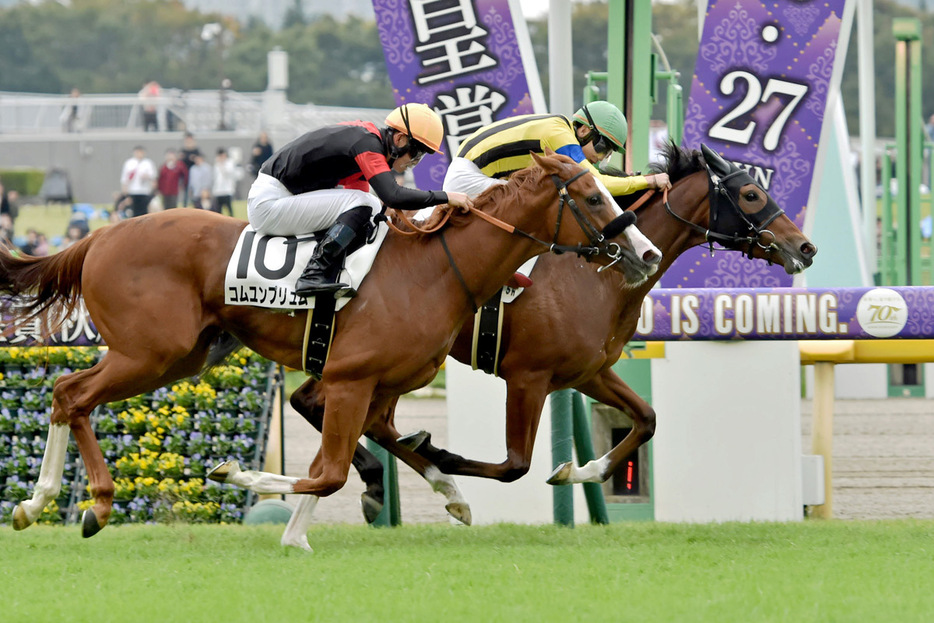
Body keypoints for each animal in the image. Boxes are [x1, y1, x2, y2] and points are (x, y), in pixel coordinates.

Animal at [1, 152, 664, 540]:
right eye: (595, 197)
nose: (647, 253)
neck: (437, 269)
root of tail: (100, 236)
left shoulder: (381, 384)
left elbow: (347, 462)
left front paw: (444, 489)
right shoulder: (352, 379)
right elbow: (328, 474)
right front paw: (239, 477)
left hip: (178, 356)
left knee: (67, 393)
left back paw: (43, 504)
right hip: (149, 353)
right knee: (73, 394)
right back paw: (87, 504)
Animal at [288, 143, 820, 528]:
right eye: (751, 195)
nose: (805, 248)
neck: (596, 275)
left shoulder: (589, 371)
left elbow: (645, 419)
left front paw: (580, 471)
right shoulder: (528, 376)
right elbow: (514, 464)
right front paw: (442, 456)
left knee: (321, 403)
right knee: (339, 408)